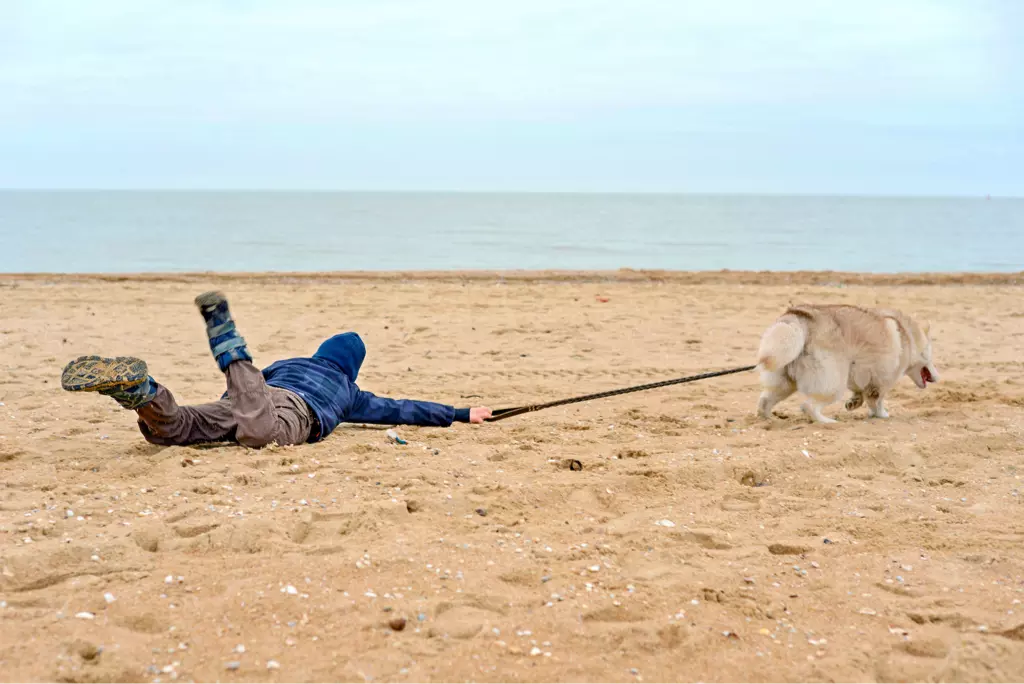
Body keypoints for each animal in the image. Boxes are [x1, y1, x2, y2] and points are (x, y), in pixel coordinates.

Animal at [757, 305, 937, 421]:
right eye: (930, 355)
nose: (937, 377)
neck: (908, 338)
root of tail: (800, 318)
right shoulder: (881, 382)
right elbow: (876, 401)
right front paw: (881, 414)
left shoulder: (861, 376)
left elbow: (861, 394)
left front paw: (854, 403)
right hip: (833, 384)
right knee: (808, 406)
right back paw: (828, 422)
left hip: (784, 383)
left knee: (764, 402)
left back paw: (769, 420)